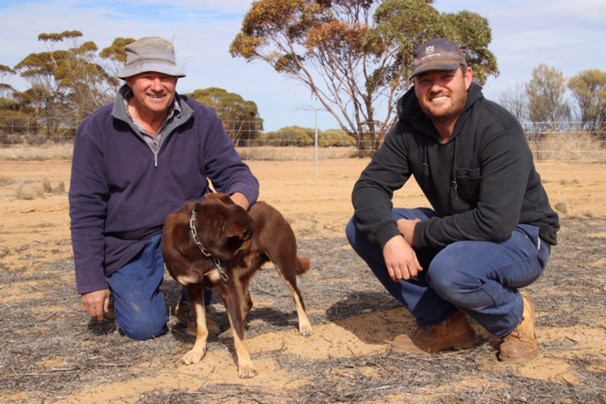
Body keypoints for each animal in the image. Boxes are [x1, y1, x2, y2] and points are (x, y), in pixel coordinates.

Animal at [163, 193, 314, 378]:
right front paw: (197, 351)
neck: (197, 243)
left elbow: (240, 336)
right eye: (247, 236)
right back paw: (229, 331)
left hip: (282, 265)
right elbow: (201, 326)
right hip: (238, 276)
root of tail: (273, 209)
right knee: (246, 305)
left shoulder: (227, 288)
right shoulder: (193, 289)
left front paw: (246, 365)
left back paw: (305, 325)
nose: (253, 247)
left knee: (297, 294)